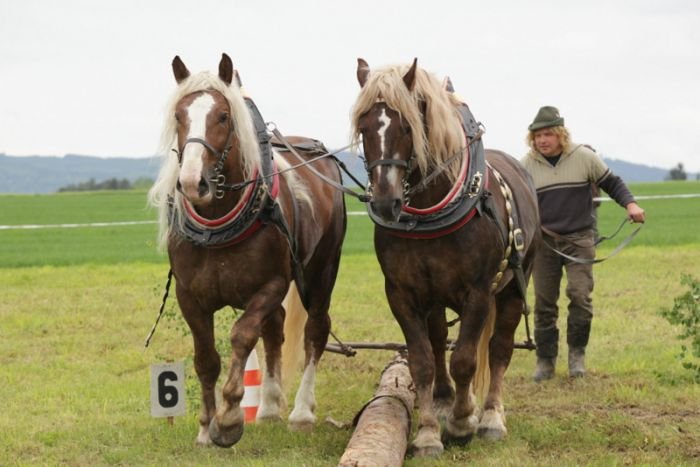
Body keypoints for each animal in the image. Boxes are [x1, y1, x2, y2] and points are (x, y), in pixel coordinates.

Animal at [149, 54, 346, 450]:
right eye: (179, 115)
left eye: (224, 116)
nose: (192, 183)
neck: (217, 225)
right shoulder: (189, 296)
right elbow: (206, 358)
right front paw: (206, 428)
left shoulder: (271, 285)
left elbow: (242, 336)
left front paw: (229, 418)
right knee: (275, 329)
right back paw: (269, 406)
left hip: (322, 269)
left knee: (315, 330)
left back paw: (301, 412)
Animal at [350, 58, 540, 458]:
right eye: (363, 126)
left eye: (408, 125)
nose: (386, 203)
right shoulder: (402, 294)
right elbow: (422, 360)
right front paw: (427, 433)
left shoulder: (479, 292)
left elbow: (466, 359)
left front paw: (463, 421)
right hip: (435, 298)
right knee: (439, 342)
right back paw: (442, 399)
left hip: (514, 284)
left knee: (498, 348)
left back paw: (491, 416)